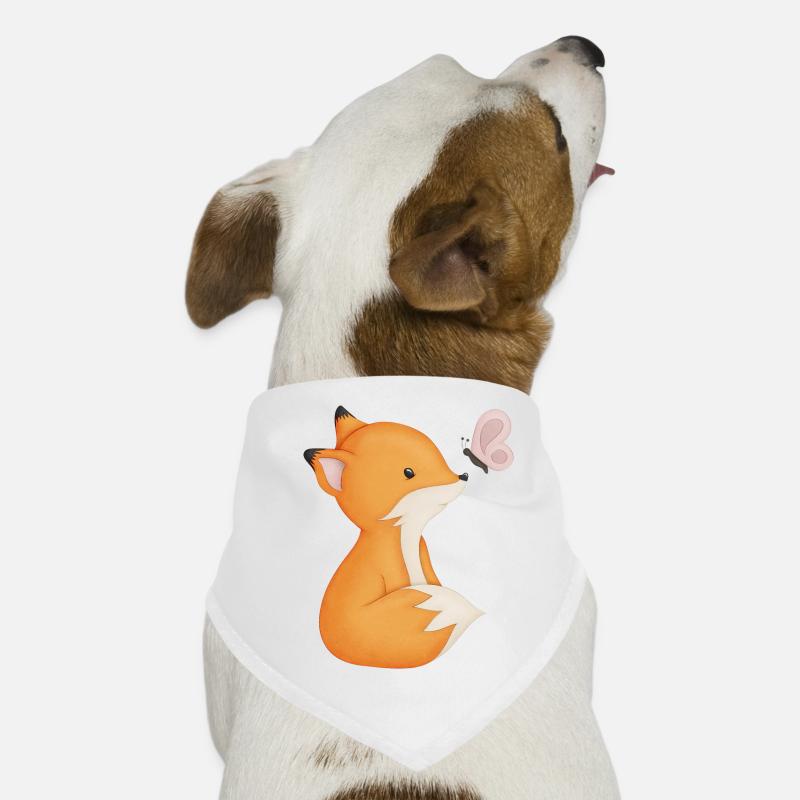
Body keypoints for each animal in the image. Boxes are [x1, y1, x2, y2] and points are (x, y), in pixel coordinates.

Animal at [304, 406, 483, 669]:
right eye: (409, 472)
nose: (464, 476)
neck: (406, 537)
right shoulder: (390, 568)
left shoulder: (425, 557)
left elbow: (434, 581)